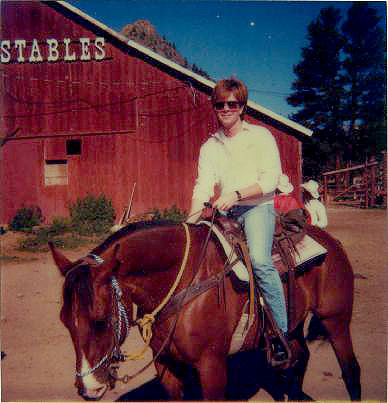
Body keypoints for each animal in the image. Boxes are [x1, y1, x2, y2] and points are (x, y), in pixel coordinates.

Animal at [50, 223, 362, 402]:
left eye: (100, 321)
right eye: (65, 322)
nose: (88, 388)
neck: (184, 282)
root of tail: (330, 241)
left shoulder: (212, 367)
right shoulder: (166, 365)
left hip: (336, 320)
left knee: (350, 370)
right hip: (292, 326)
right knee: (298, 359)